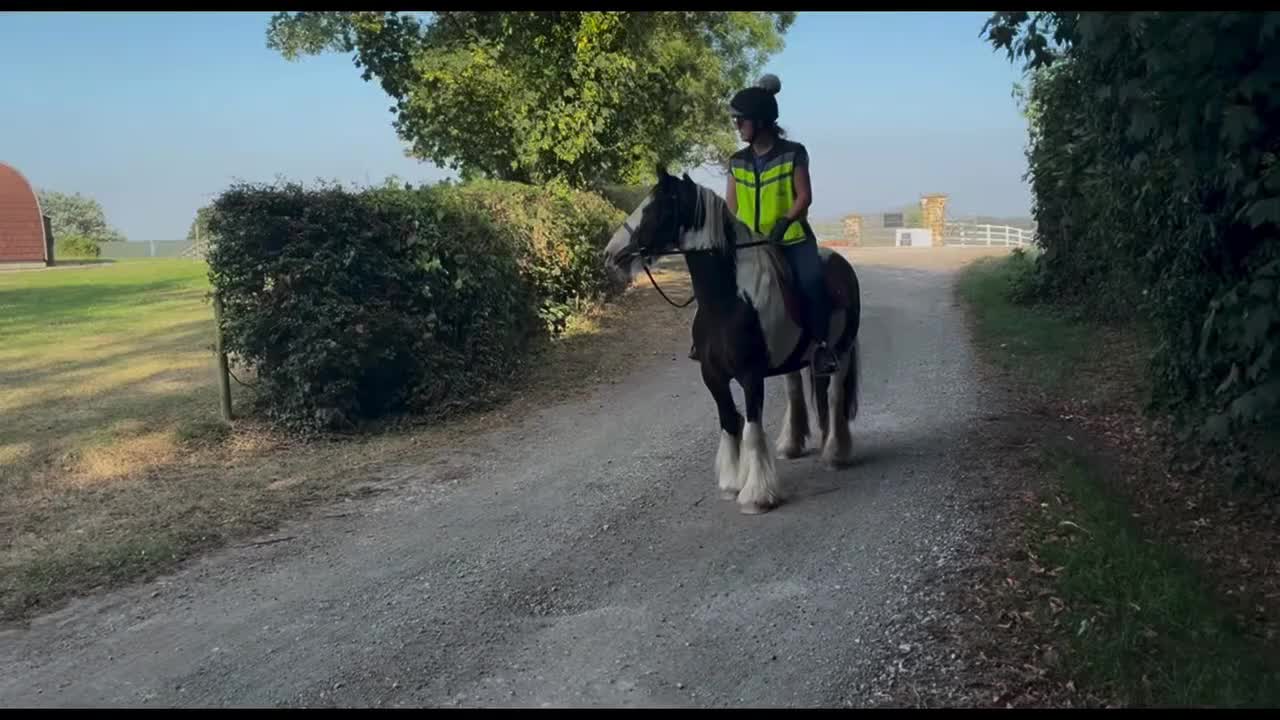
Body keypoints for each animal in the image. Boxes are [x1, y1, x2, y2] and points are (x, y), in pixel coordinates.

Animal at [602, 166, 862, 515]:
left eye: (656, 208)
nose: (611, 253)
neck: (727, 301)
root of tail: (840, 263)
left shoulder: (751, 376)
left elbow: (751, 429)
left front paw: (757, 495)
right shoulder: (712, 376)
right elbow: (728, 422)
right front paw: (730, 483)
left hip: (842, 351)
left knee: (834, 398)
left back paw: (835, 453)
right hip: (797, 360)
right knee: (796, 392)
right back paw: (792, 445)